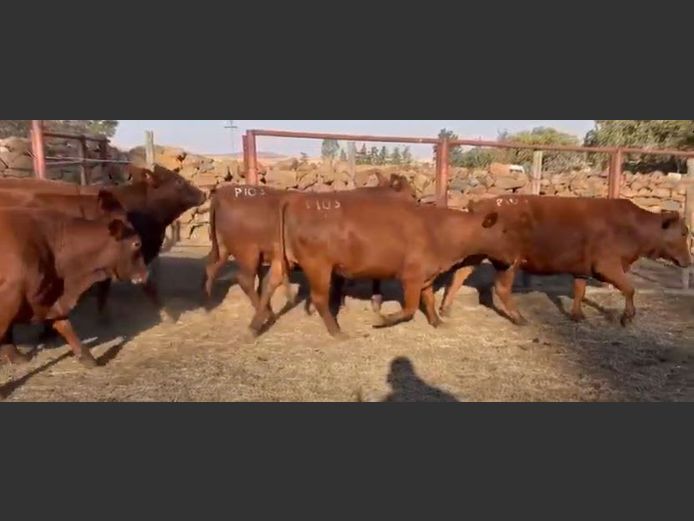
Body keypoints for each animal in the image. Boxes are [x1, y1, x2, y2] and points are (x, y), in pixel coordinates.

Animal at [0, 206, 148, 369]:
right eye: (137, 244)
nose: (145, 273)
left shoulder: (51, 300)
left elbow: (66, 326)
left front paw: (87, 358)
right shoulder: (10, 297)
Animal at [203, 174, 417, 320]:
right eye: (413, 193)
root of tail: (222, 194)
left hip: (224, 247)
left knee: (212, 268)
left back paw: (210, 301)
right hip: (248, 251)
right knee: (245, 279)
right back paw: (266, 313)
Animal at [247, 195, 504, 339]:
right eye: (504, 231)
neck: (438, 228)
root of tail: (296, 200)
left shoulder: (427, 277)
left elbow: (429, 301)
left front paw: (437, 322)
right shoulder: (411, 276)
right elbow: (410, 308)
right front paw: (381, 320)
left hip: (282, 259)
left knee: (268, 285)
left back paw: (253, 328)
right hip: (318, 266)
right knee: (319, 298)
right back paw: (337, 332)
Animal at [438, 194, 692, 326]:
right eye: (683, 232)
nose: (688, 261)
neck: (630, 227)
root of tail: (482, 203)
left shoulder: (582, 268)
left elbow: (579, 290)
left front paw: (577, 315)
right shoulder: (607, 265)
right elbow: (629, 289)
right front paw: (627, 317)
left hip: (478, 254)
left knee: (460, 274)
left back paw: (446, 309)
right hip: (509, 261)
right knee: (501, 288)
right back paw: (519, 318)